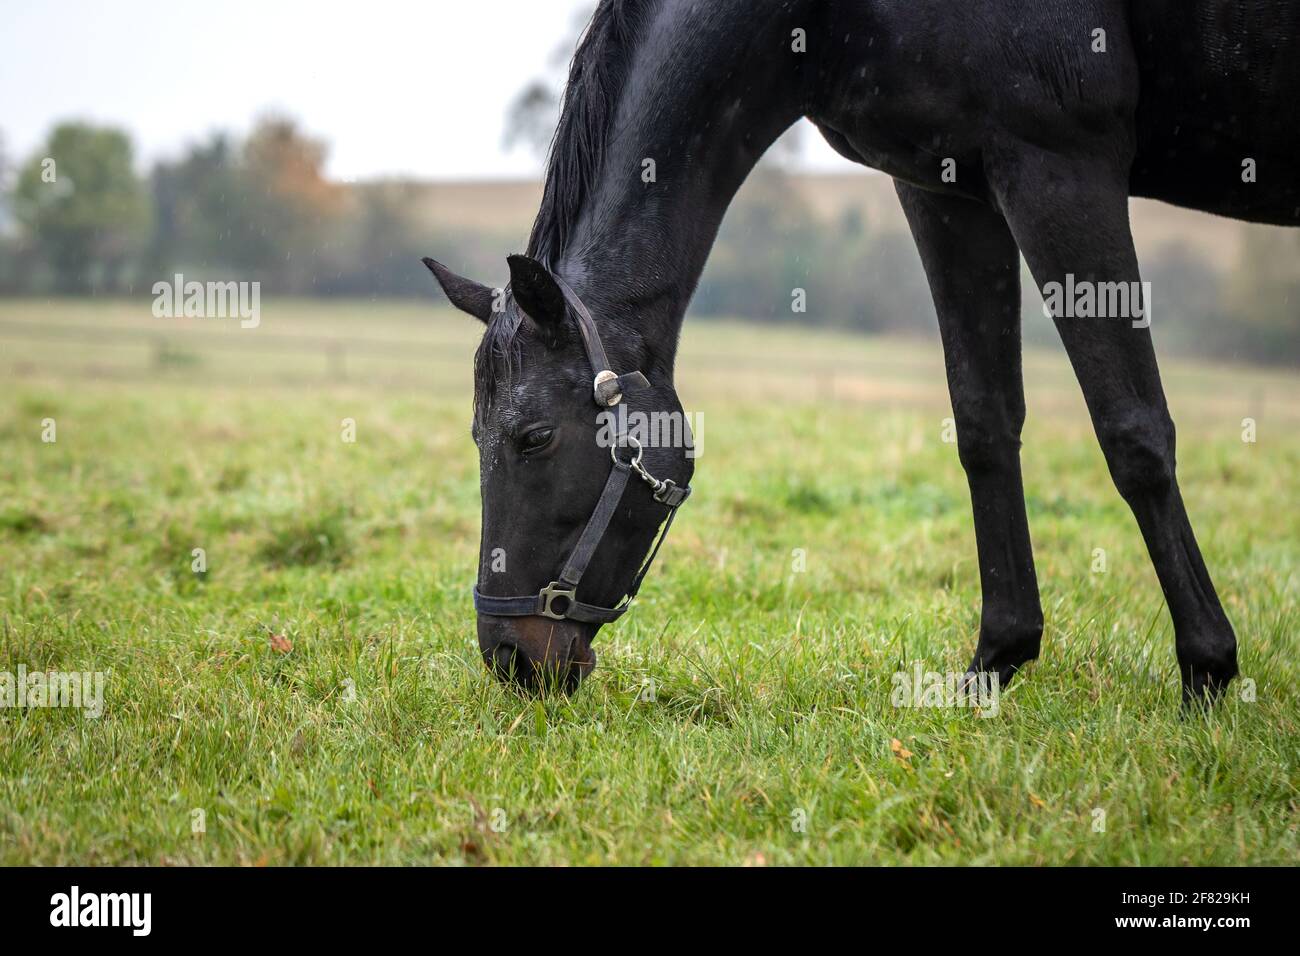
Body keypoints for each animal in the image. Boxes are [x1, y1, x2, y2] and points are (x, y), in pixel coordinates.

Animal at [423, 0, 1289, 702]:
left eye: (533, 438)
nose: (510, 658)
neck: (827, 15)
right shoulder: (948, 189)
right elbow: (984, 426)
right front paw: (995, 662)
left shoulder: (1060, 166)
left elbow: (1132, 429)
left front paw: (1208, 668)